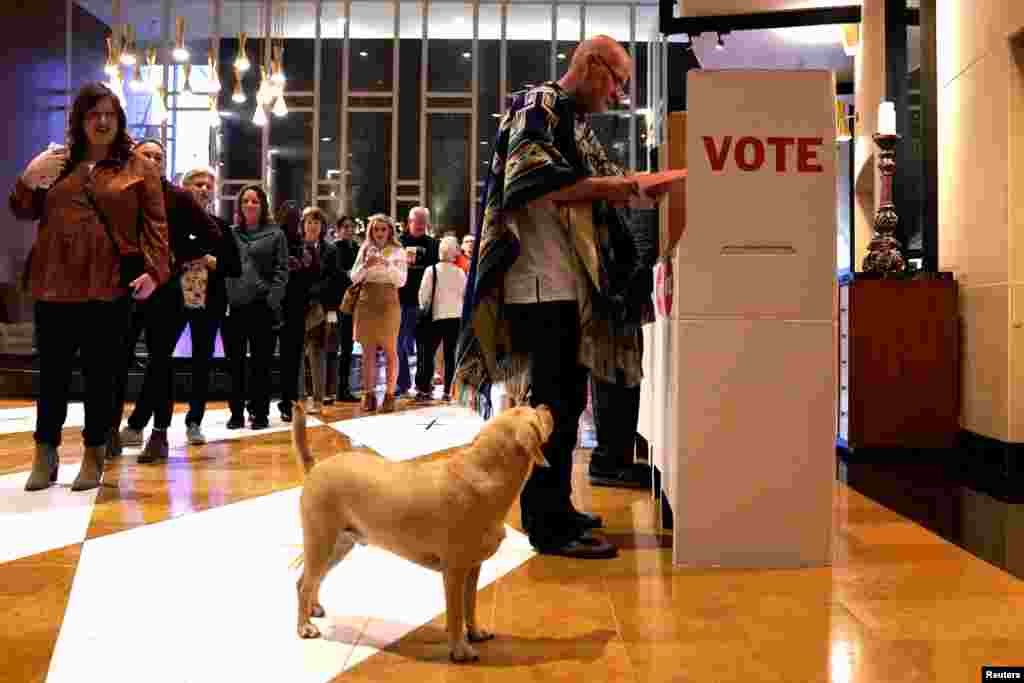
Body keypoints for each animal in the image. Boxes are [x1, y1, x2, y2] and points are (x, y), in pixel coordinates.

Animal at [292, 401, 557, 663]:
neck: (486, 473)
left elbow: (470, 606)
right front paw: (460, 650)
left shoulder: (473, 568)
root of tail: (315, 467)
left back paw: (313, 608)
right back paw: (304, 626)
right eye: (535, 413)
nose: (545, 405)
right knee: (303, 583)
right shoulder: (454, 571)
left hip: (338, 546)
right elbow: (455, 614)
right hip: (320, 541)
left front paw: (475, 633)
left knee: (315, 578)